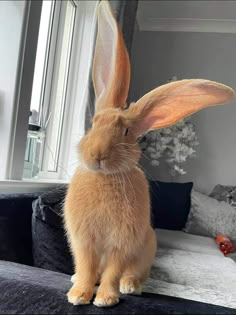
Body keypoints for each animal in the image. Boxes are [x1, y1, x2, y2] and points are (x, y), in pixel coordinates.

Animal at [63, 0, 235, 308]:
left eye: (126, 132)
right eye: (93, 123)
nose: (97, 154)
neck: (106, 177)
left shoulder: (123, 242)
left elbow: (113, 271)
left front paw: (106, 299)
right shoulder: (84, 242)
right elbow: (86, 267)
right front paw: (78, 295)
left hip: (146, 249)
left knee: (132, 273)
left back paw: (130, 286)